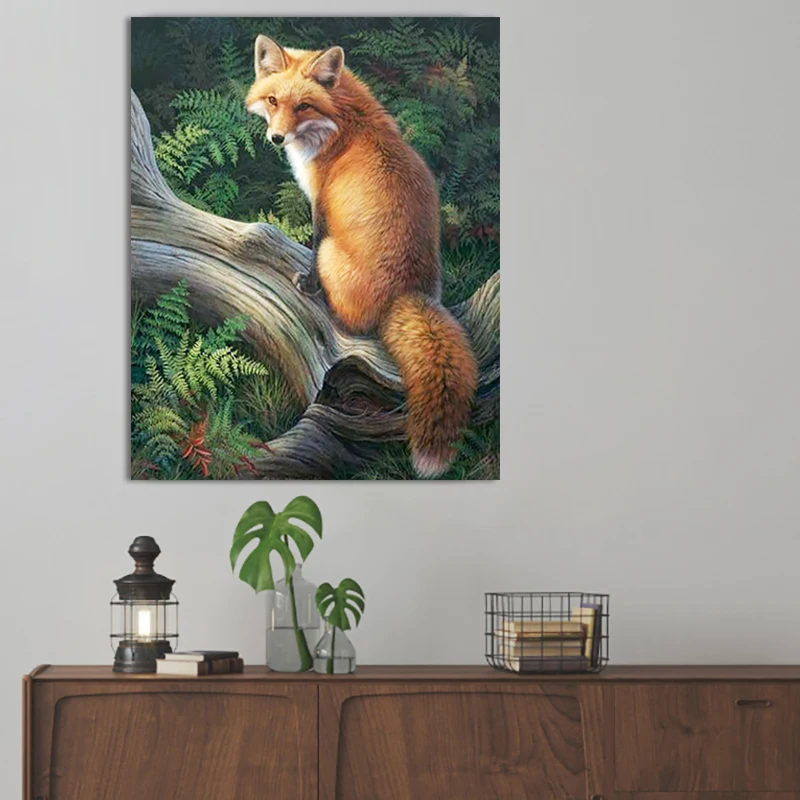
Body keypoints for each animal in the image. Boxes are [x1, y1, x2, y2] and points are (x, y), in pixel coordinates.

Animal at [245, 35, 478, 477]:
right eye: (272, 100)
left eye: (304, 106)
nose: (277, 138)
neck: (345, 122)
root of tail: (408, 293)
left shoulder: (320, 204)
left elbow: (313, 244)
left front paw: (307, 284)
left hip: (334, 255)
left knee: (348, 321)